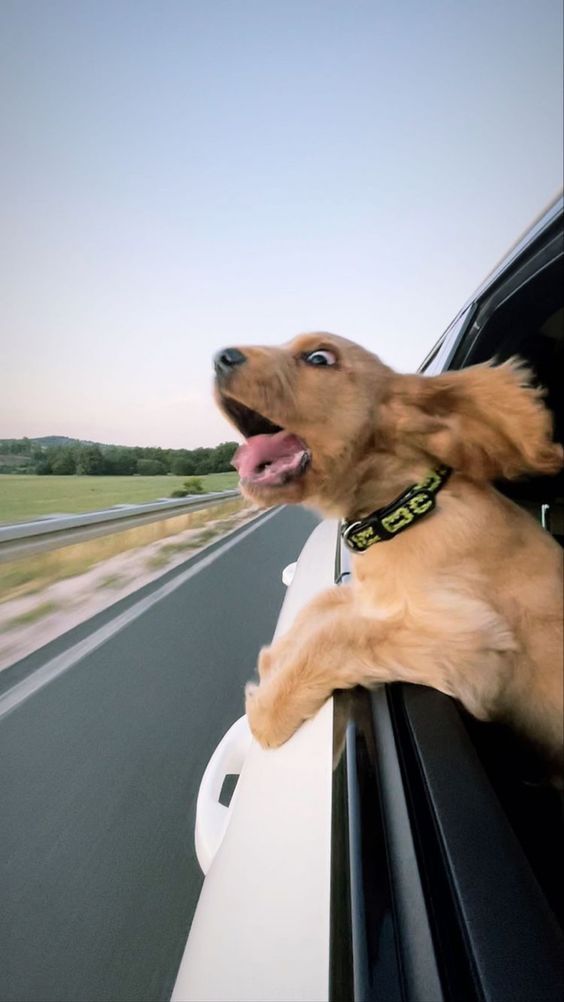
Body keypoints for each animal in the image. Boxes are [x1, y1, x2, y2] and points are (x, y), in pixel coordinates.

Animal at [213, 332, 564, 769]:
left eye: (319, 357)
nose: (221, 357)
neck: (406, 506)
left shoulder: (467, 639)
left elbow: (335, 636)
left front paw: (264, 711)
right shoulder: (372, 598)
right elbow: (320, 608)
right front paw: (274, 662)